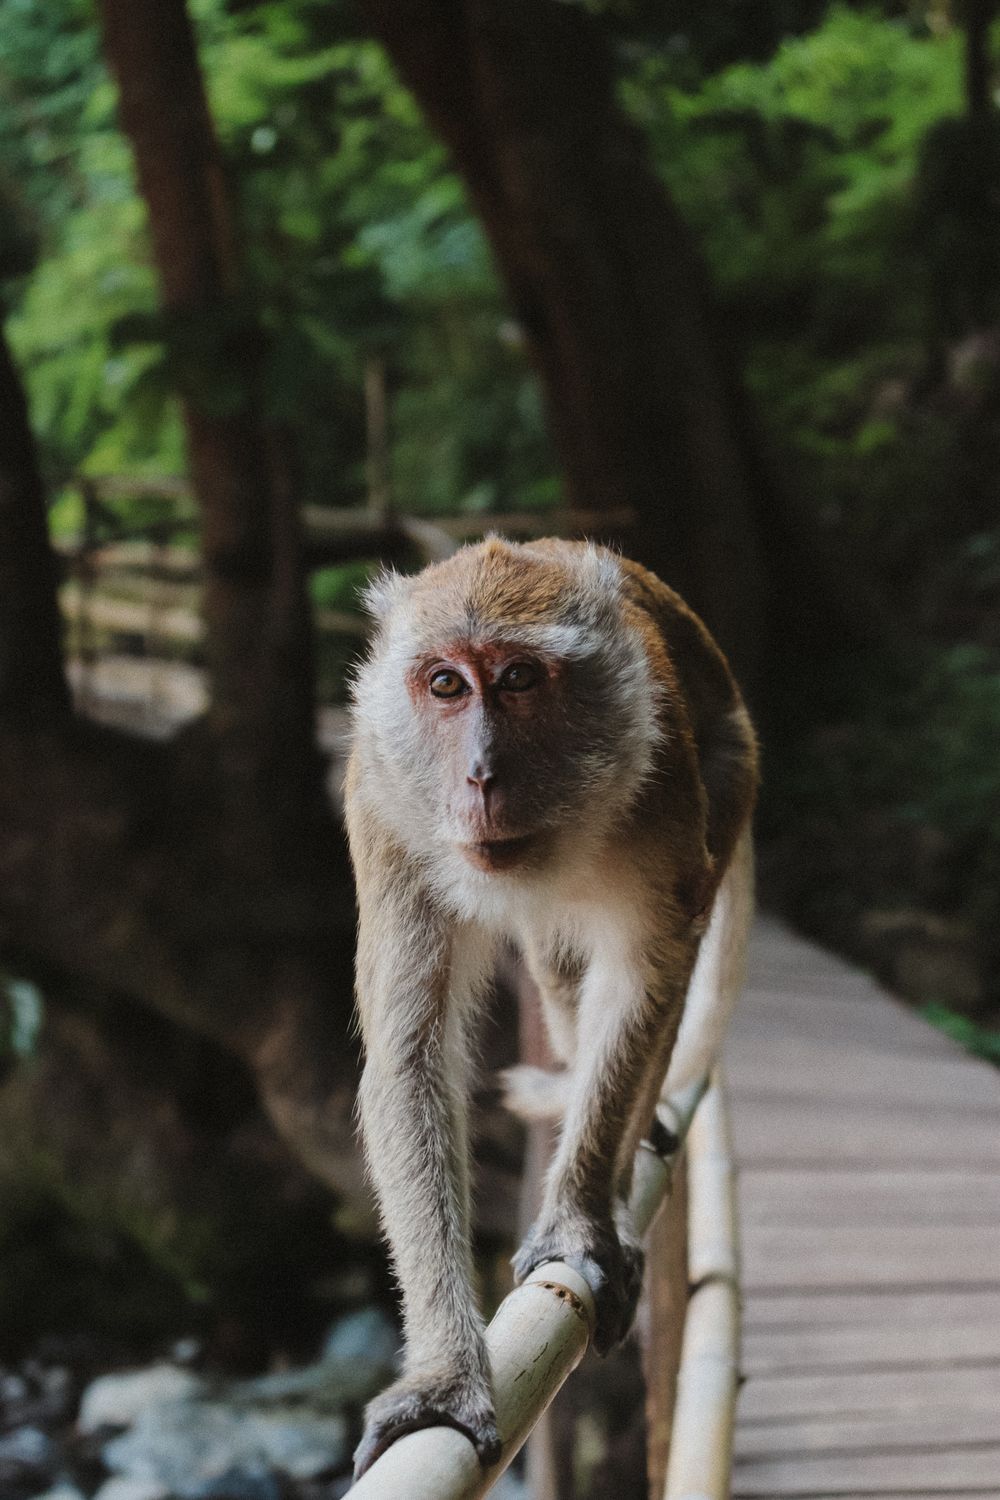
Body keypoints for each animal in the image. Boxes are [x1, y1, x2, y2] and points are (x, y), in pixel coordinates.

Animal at [344, 537, 758, 1478]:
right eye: (447, 685)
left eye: (521, 679)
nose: (480, 775)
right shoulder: (382, 803)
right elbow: (409, 1052)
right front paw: (444, 1373)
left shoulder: (663, 776)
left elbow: (646, 974)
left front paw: (579, 1217)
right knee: (556, 967)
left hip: (729, 768)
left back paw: (617, 1176)